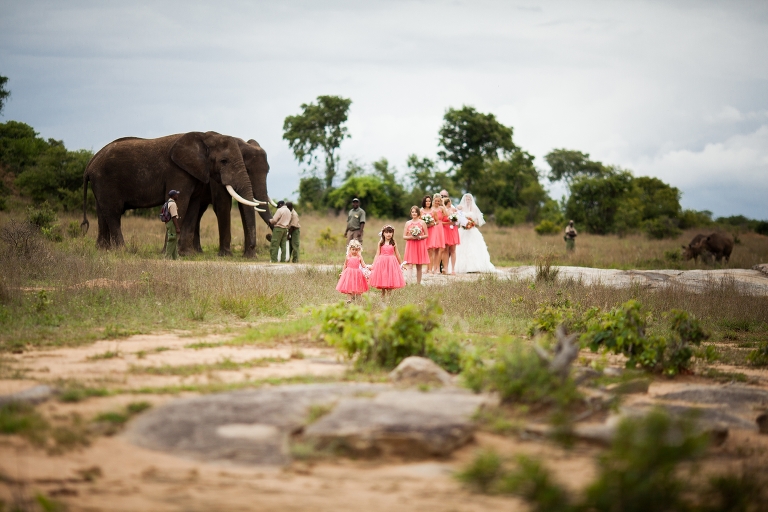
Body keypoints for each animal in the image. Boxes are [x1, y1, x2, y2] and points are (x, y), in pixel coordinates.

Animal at [81, 132, 268, 252]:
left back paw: (102, 250)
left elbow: (192, 207)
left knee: (102, 212)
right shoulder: (179, 171)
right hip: (106, 180)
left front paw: (186, 254)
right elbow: (185, 203)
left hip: (101, 184)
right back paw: (122, 250)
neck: (205, 136)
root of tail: (91, 162)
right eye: (224, 161)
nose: (254, 247)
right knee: (113, 213)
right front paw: (169, 252)